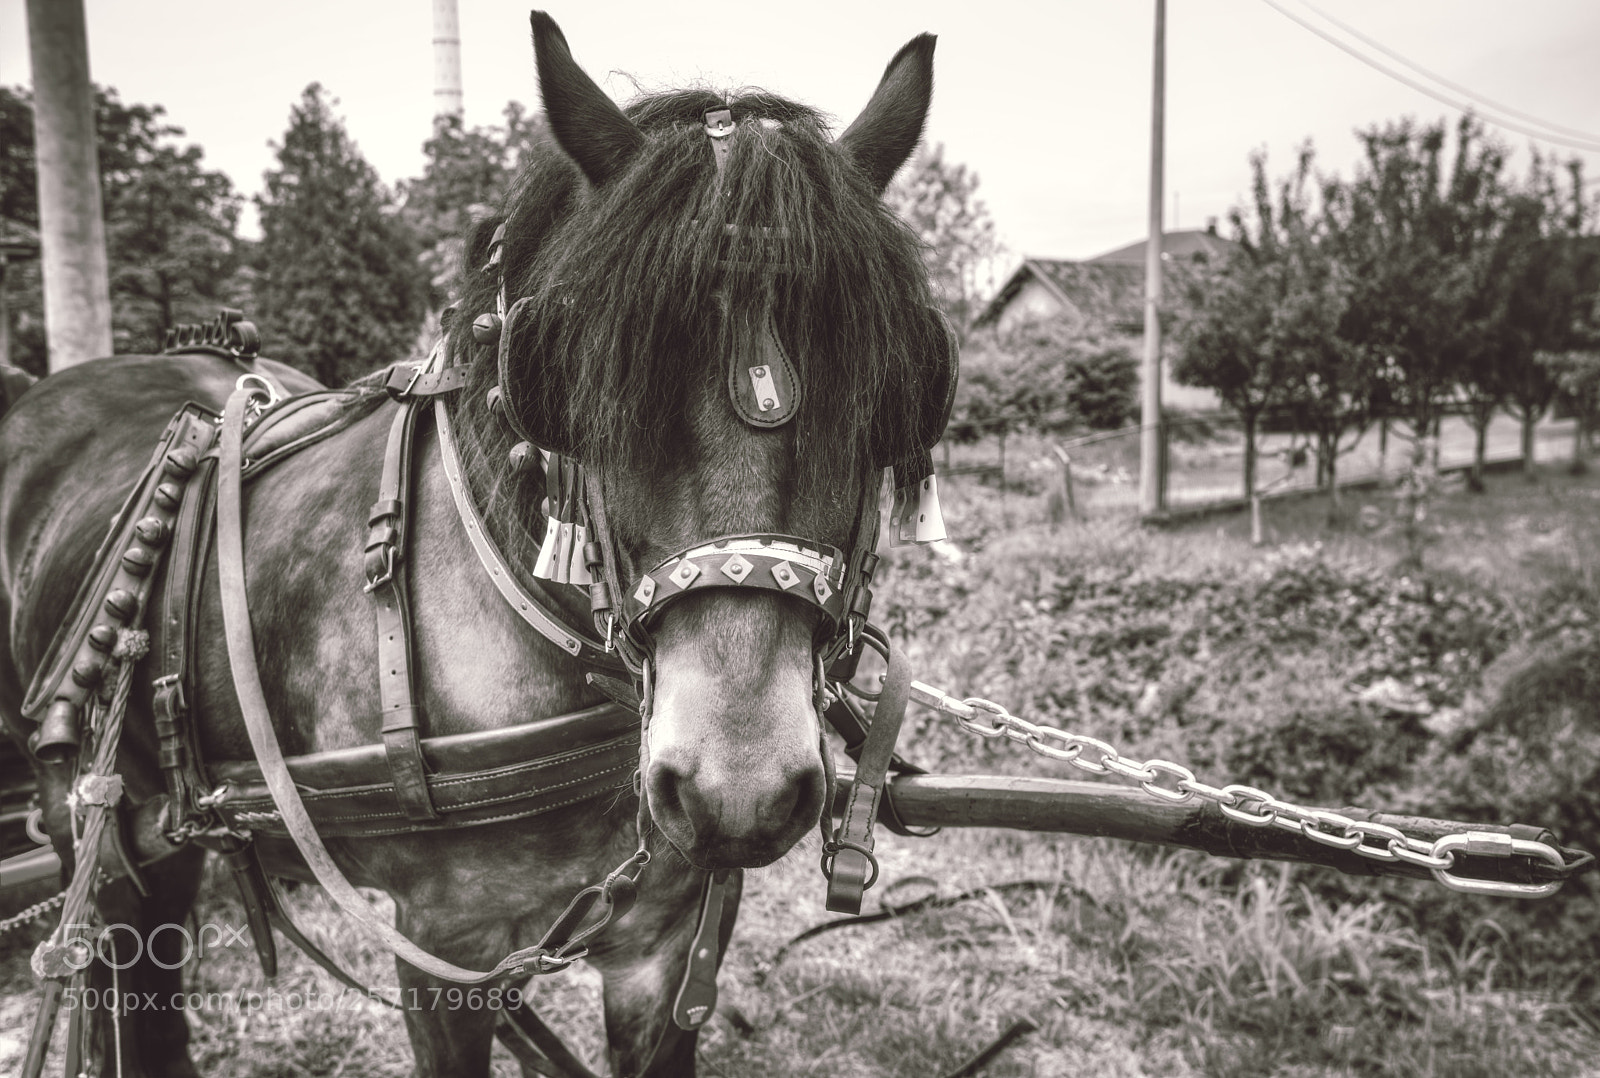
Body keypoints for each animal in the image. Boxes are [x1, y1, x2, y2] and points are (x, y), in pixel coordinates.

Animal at [0, 12, 953, 1077]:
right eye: (575, 380)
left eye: (893, 388)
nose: (734, 788)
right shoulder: (443, 945)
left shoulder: (669, 941)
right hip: (102, 830)